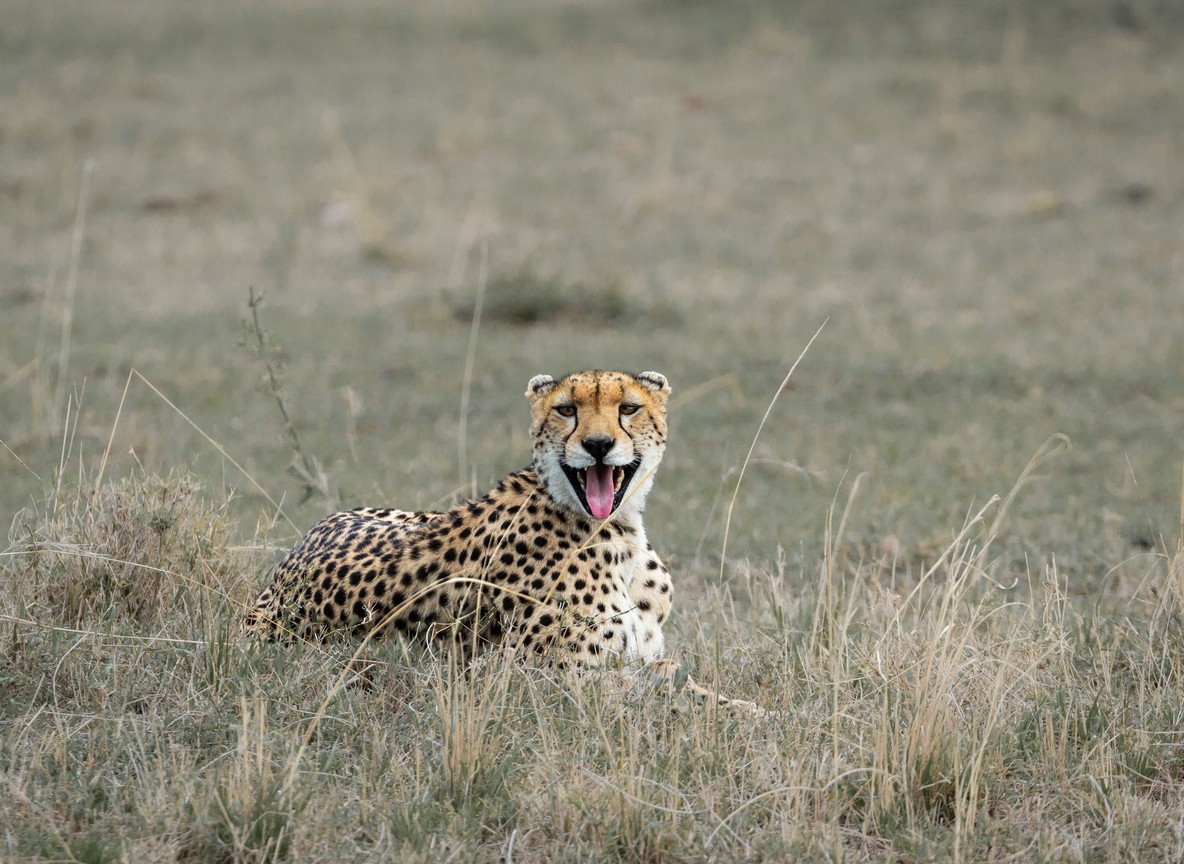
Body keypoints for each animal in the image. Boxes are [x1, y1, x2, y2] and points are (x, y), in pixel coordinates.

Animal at [243, 369, 757, 711]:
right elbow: (662, 697)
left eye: (628, 408)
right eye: (566, 410)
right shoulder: (545, 683)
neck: (620, 533)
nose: (597, 445)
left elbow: (692, 688)